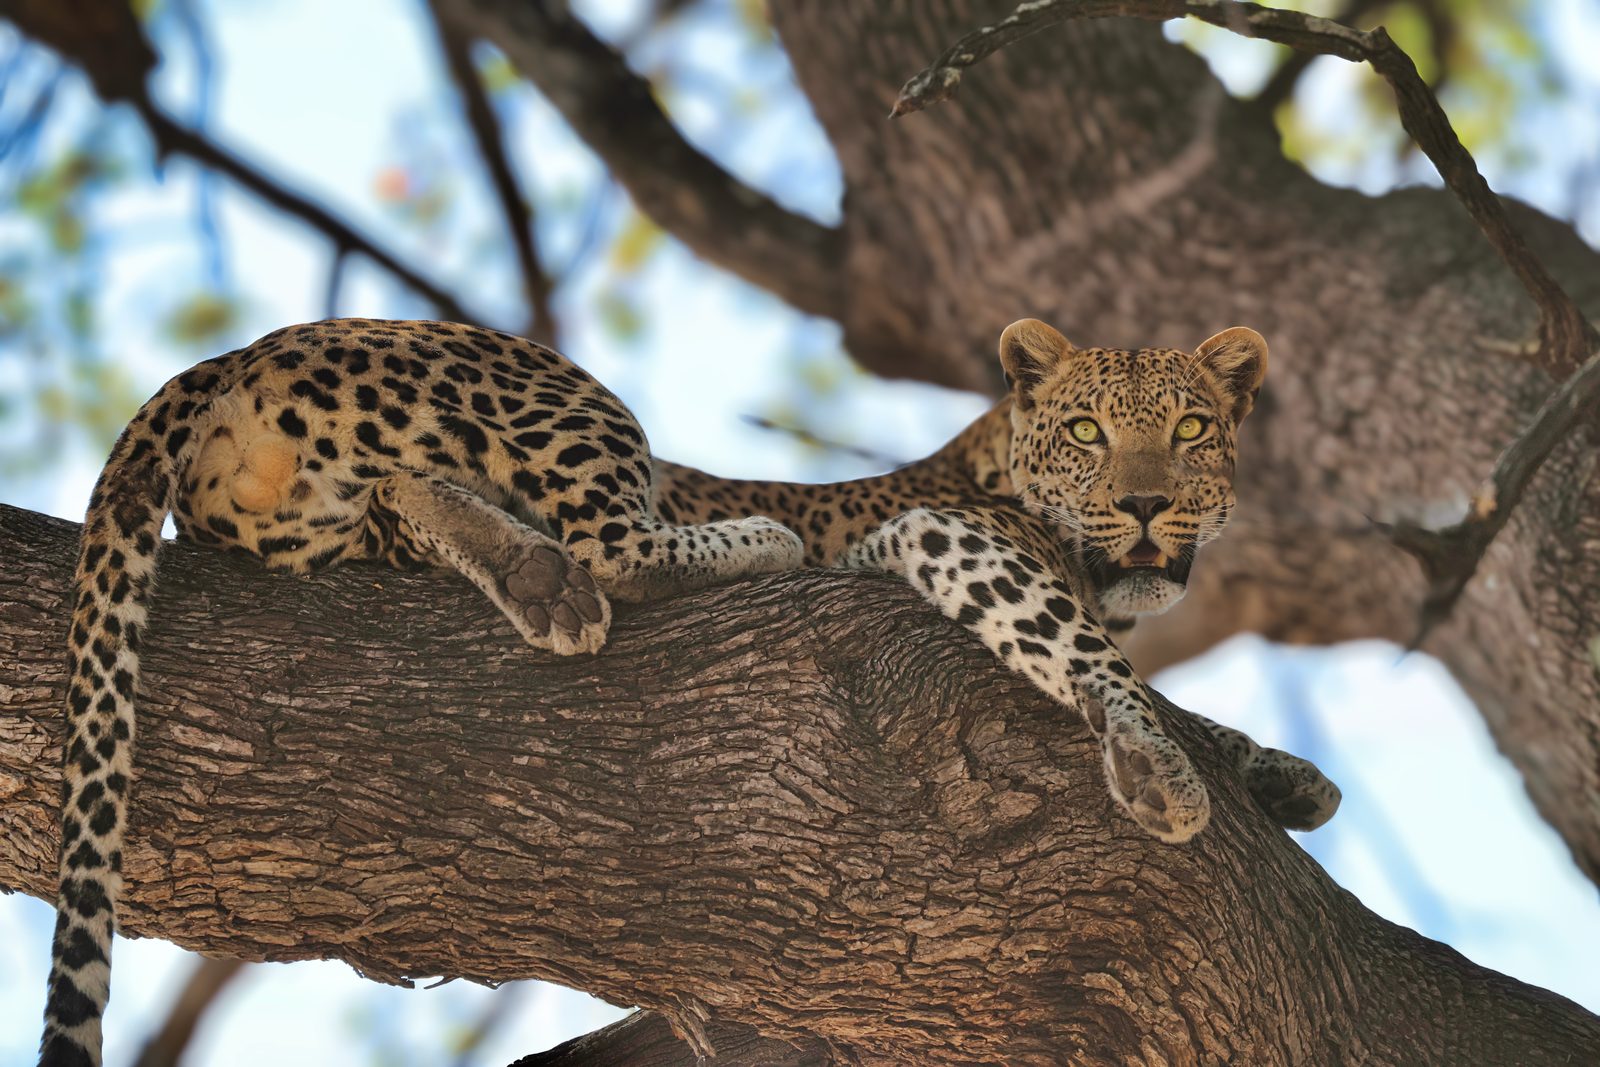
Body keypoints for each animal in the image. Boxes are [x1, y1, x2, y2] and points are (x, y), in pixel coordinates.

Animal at [38, 315, 1338, 1067]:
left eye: (1191, 428)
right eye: (1084, 431)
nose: (1144, 504)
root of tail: (234, 353)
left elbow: (1189, 705)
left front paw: (1277, 772)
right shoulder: (945, 538)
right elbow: (1091, 656)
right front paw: (1159, 769)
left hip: (344, 522)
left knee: (419, 502)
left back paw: (536, 578)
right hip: (557, 389)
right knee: (615, 538)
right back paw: (744, 541)